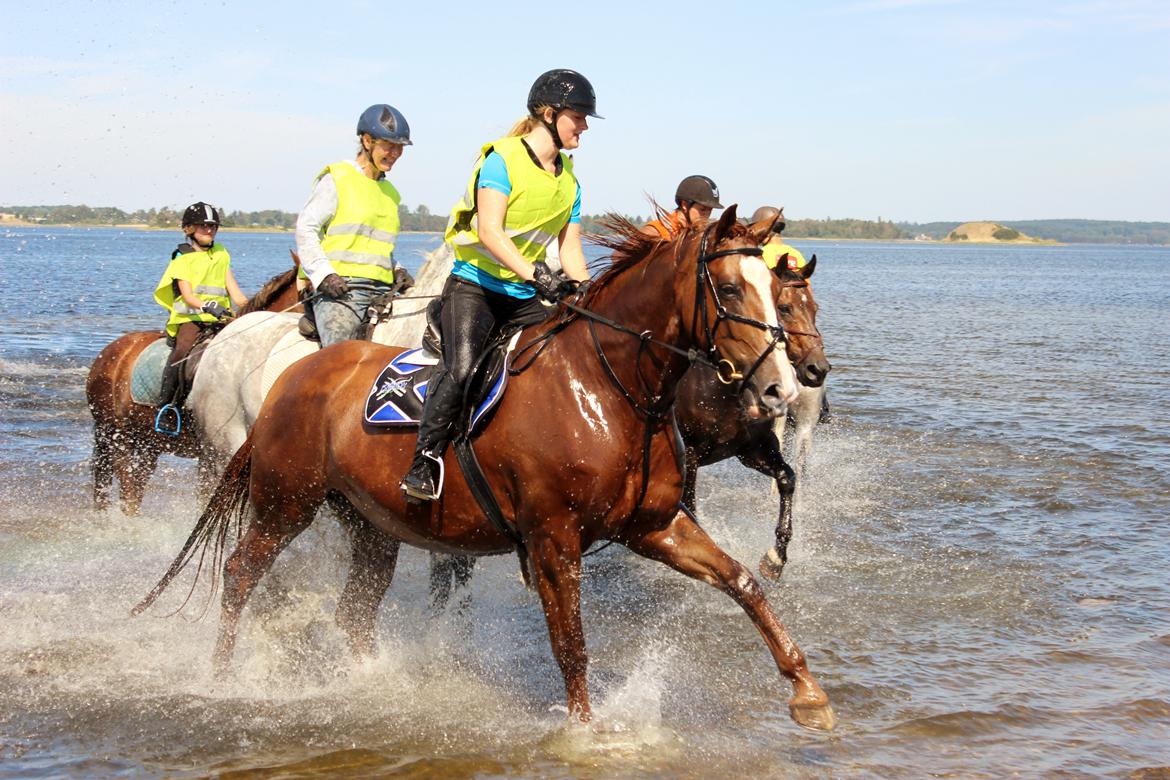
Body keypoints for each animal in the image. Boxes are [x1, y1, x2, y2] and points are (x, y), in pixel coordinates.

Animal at [134, 206, 833, 734]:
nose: (784, 388)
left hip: (371, 524)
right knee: (241, 573)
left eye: (782, 295)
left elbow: (743, 582)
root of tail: (289, 377)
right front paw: (585, 734)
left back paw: (371, 682)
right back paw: (223, 675)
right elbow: (570, 643)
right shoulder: (553, 539)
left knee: (354, 610)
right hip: (285, 501)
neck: (610, 385)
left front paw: (808, 691)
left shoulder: (655, 525)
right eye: (733, 289)